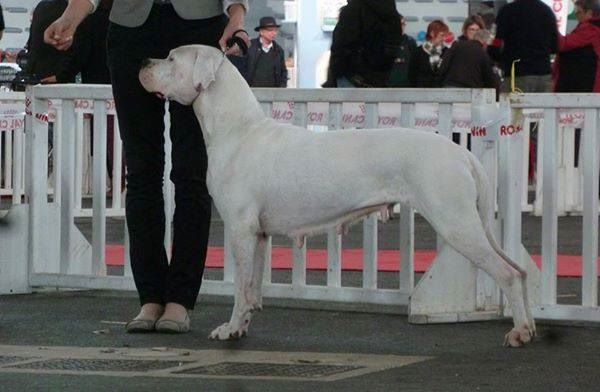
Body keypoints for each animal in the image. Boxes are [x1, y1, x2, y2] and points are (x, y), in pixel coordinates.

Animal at [139, 44, 536, 348]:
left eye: (171, 58)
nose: (143, 63)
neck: (237, 128)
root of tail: (463, 155)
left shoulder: (239, 229)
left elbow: (239, 287)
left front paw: (229, 328)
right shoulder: (258, 234)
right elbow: (251, 288)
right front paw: (242, 327)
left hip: (456, 222)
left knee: (507, 273)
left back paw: (518, 333)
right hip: (470, 223)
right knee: (519, 271)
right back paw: (529, 327)